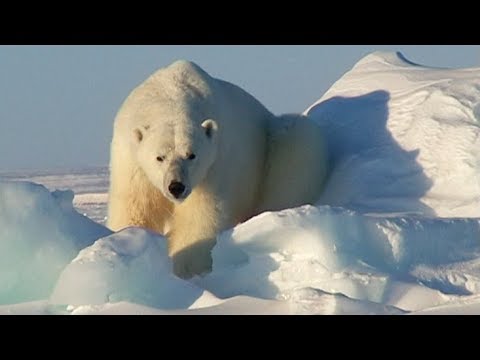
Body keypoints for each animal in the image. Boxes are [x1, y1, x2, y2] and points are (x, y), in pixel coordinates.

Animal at [107, 60, 328, 278]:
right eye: (159, 157)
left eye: (192, 155)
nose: (176, 187)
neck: (172, 96)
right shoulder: (130, 161)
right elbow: (134, 208)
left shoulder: (215, 163)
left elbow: (201, 216)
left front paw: (189, 271)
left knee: (296, 141)